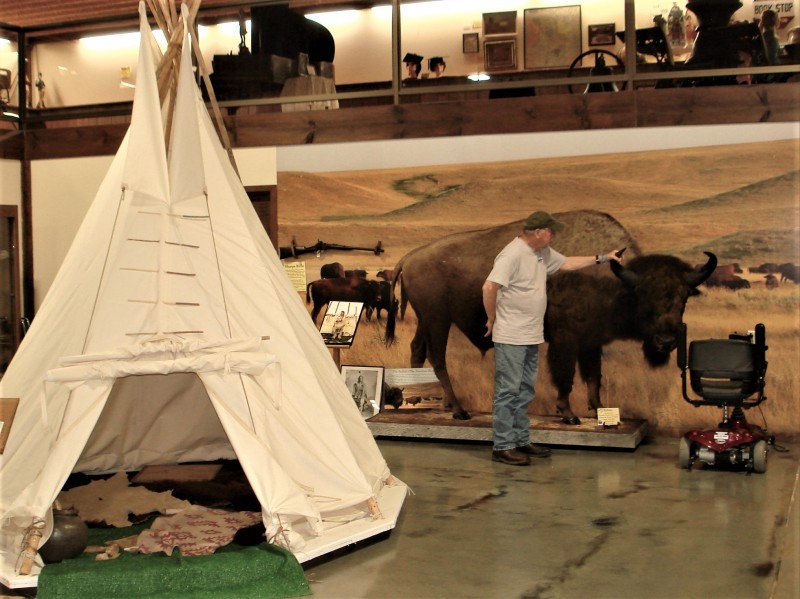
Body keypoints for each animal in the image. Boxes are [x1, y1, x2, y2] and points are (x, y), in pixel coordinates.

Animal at [384, 210, 716, 422]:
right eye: (644, 296)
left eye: (684, 296)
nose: (666, 341)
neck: (615, 281)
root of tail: (410, 258)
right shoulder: (565, 339)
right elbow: (566, 376)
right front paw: (568, 414)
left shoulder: (591, 341)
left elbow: (593, 376)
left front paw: (600, 410)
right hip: (438, 320)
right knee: (438, 359)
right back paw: (457, 410)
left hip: (427, 321)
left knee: (418, 351)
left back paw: (419, 401)